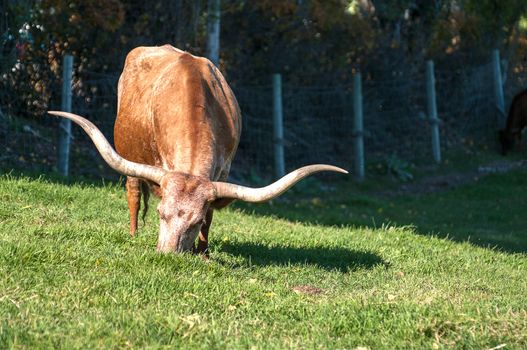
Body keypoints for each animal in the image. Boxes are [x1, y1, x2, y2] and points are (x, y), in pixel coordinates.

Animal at [48, 45, 346, 254]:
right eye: (161, 214)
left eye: (195, 221)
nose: (166, 254)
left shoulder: (222, 171)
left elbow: (212, 215)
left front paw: (202, 252)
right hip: (127, 154)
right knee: (133, 193)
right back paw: (133, 234)